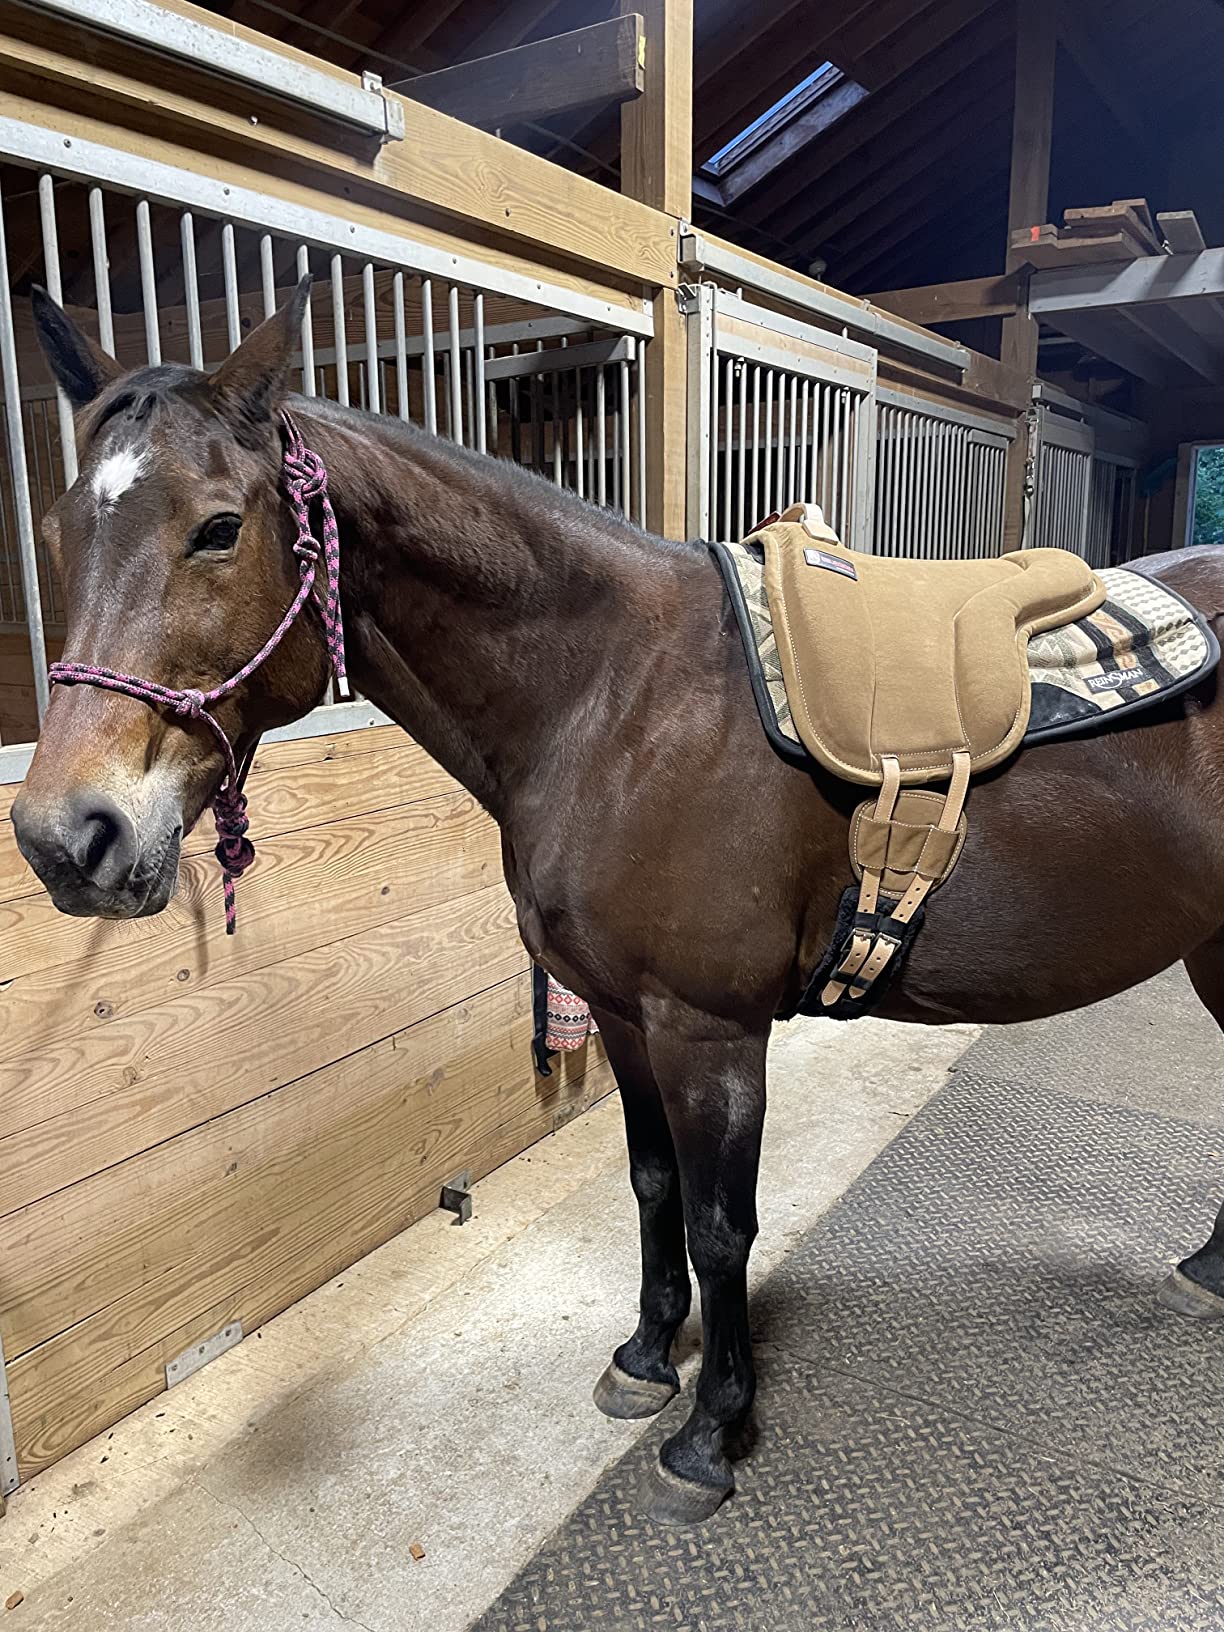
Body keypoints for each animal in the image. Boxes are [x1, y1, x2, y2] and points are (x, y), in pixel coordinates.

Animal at [16, 279, 1224, 1525]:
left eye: (218, 528)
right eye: (56, 533)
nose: (69, 837)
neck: (616, 696)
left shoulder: (711, 1032)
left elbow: (720, 1225)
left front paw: (712, 1433)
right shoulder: (624, 1013)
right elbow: (651, 1190)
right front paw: (648, 1359)